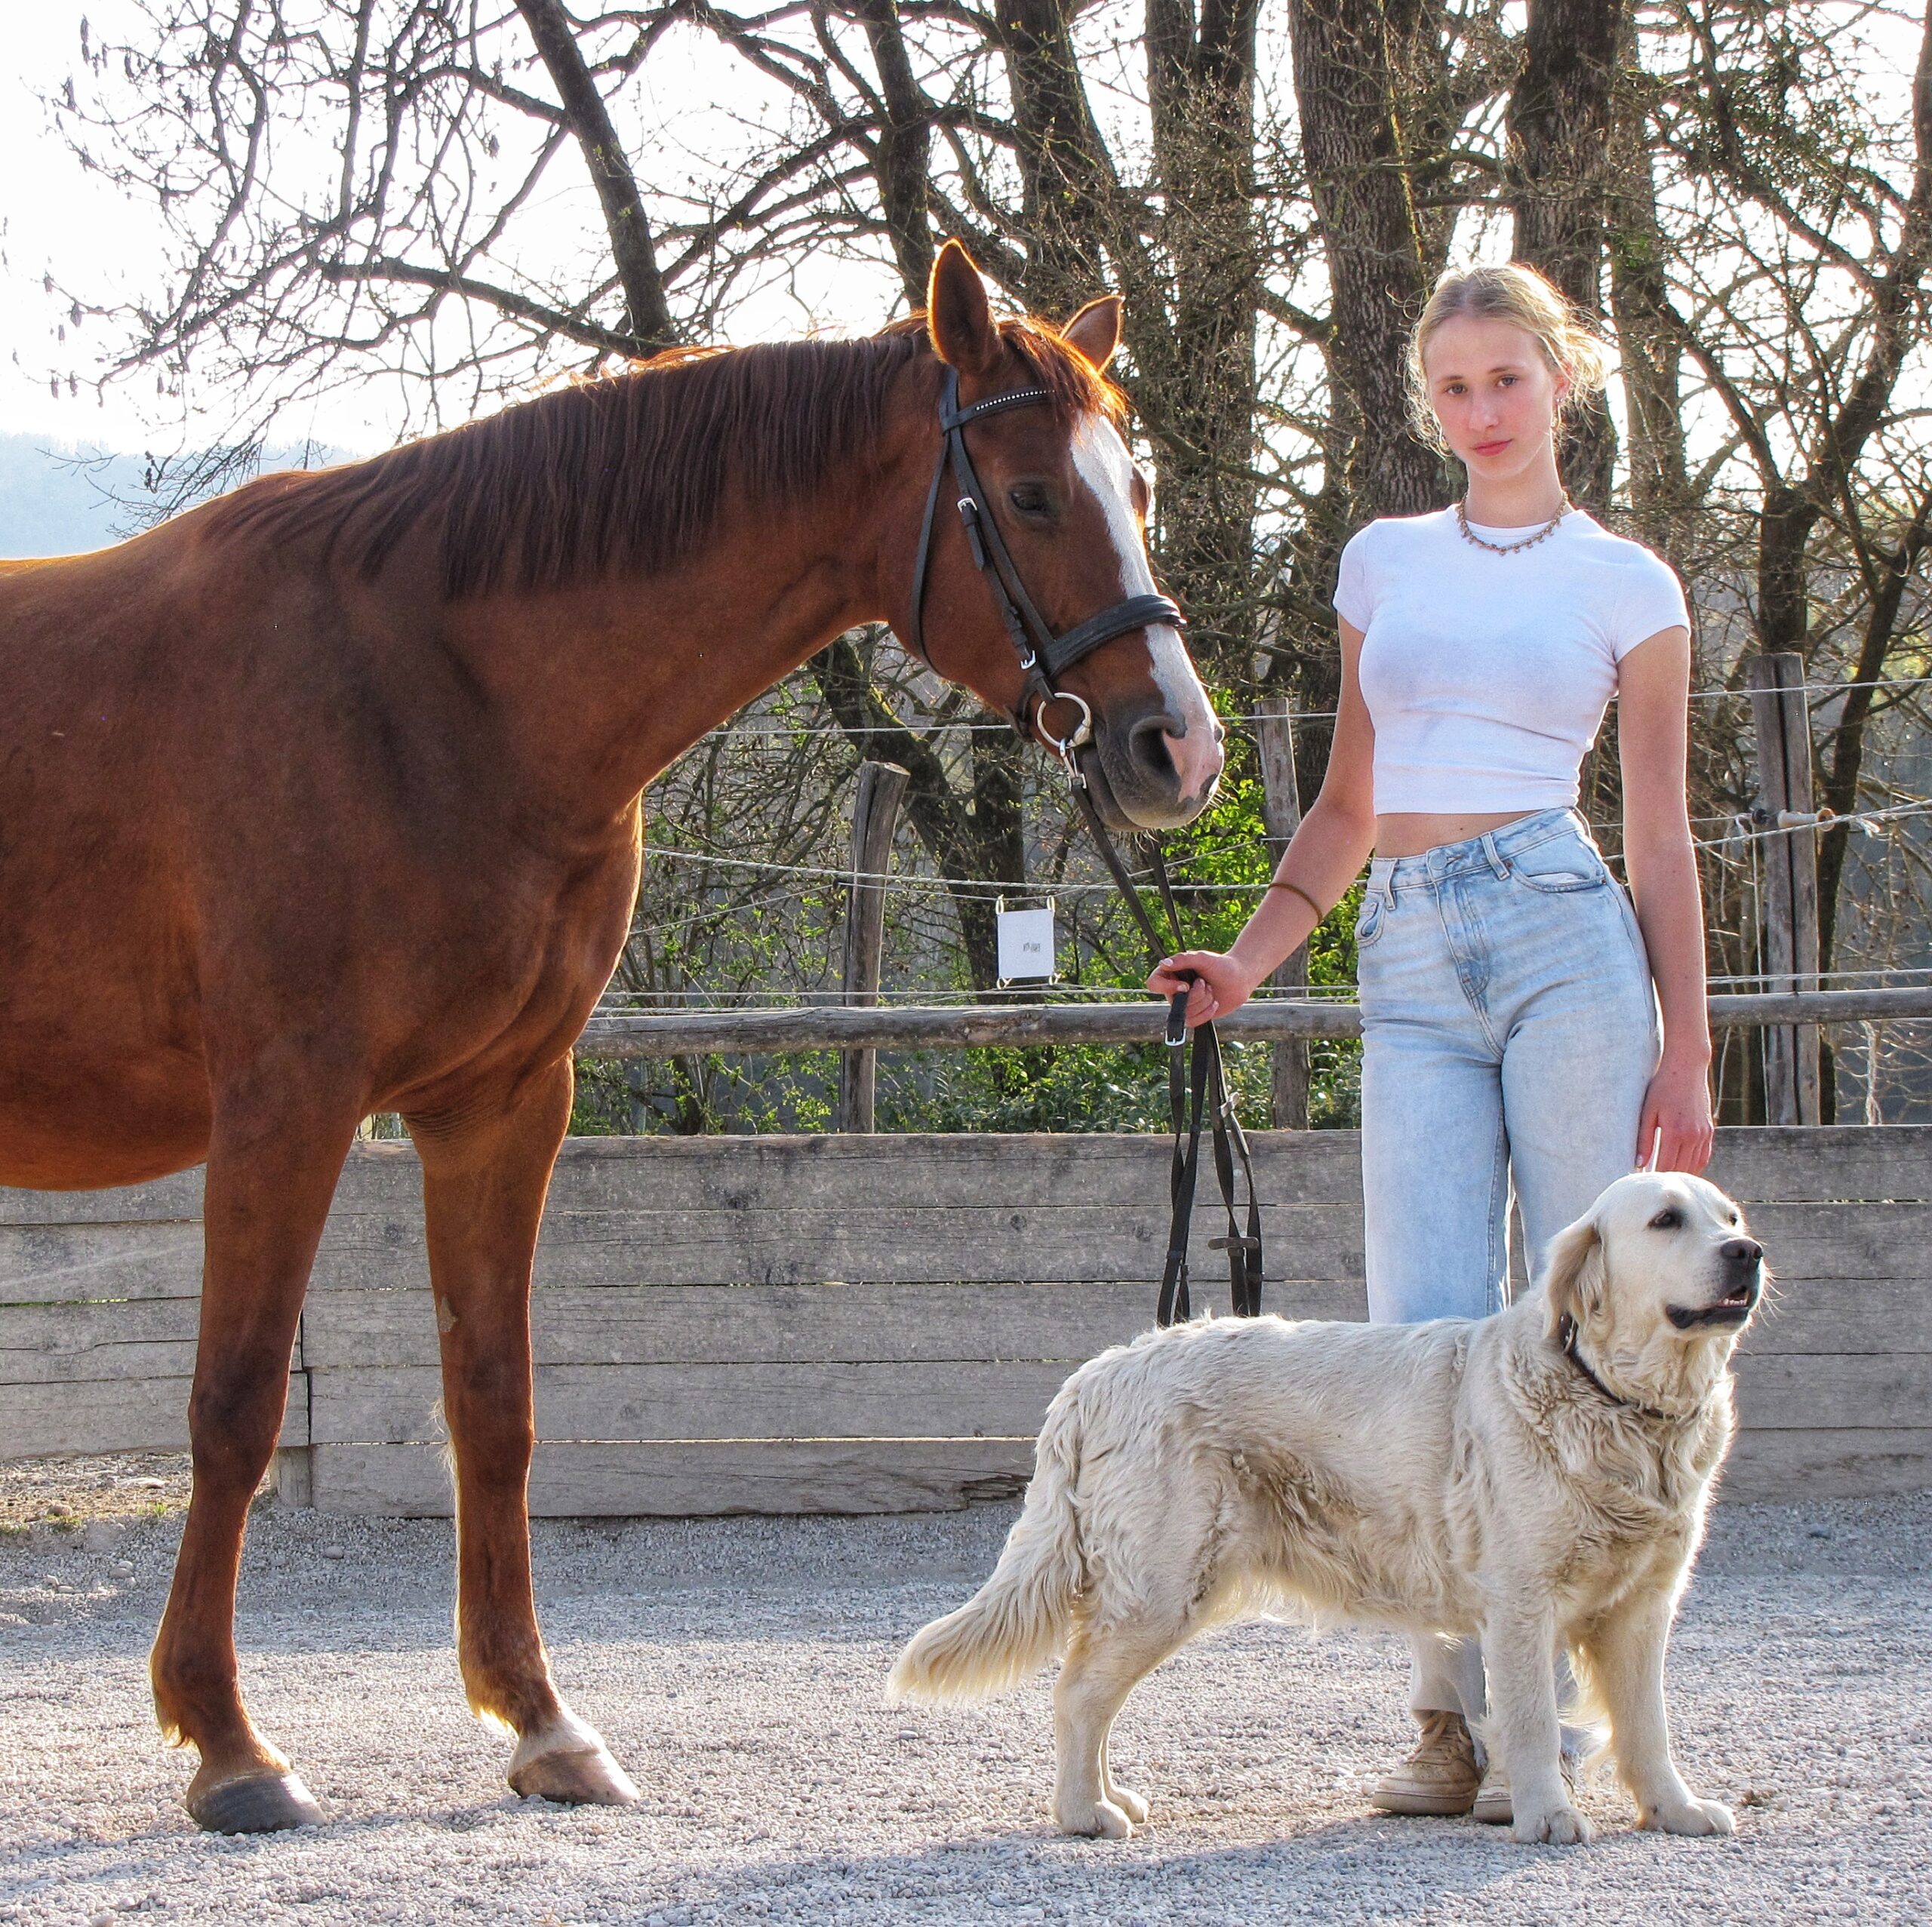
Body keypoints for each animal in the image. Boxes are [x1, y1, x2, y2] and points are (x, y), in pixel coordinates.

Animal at [0, 240, 1224, 1832]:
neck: (431, 685)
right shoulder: (287, 1102)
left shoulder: (503, 1101)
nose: (1179, 748)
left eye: (1134, 485)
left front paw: (540, 1717)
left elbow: (496, 1405)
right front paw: (227, 1740)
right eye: (1026, 495)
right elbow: (236, 1404)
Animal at [888, 1171, 1765, 1846]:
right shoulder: (1521, 1603)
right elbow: (1532, 1721)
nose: (1748, 1254)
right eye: (1665, 1220)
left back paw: (1111, 1797)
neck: (1618, 1402)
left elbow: (1647, 1724)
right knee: (1077, 1694)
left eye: (1729, 1217)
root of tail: (1097, 1373)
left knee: (1090, 1693)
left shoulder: (1642, 1608)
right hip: (1163, 1589)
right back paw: (1084, 1813)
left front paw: (1676, 1810)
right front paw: (1546, 1816)